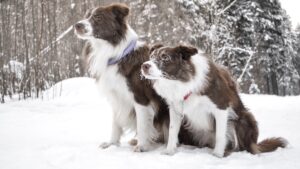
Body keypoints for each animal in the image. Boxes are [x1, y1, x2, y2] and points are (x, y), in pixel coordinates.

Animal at [74, 3, 171, 152]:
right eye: (86, 16)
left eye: (98, 17)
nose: (77, 25)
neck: (117, 54)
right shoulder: (116, 96)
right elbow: (116, 123)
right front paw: (112, 143)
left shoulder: (140, 97)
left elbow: (142, 124)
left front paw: (142, 146)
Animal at [142, 44, 288, 157]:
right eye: (151, 57)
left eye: (165, 57)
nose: (144, 65)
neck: (181, 82)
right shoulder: (176, 109)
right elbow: (172, 131)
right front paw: (169, 151)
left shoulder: (221, 107)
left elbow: (220, 134)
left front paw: (217, 155)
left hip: (245, 118)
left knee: (242, 146)